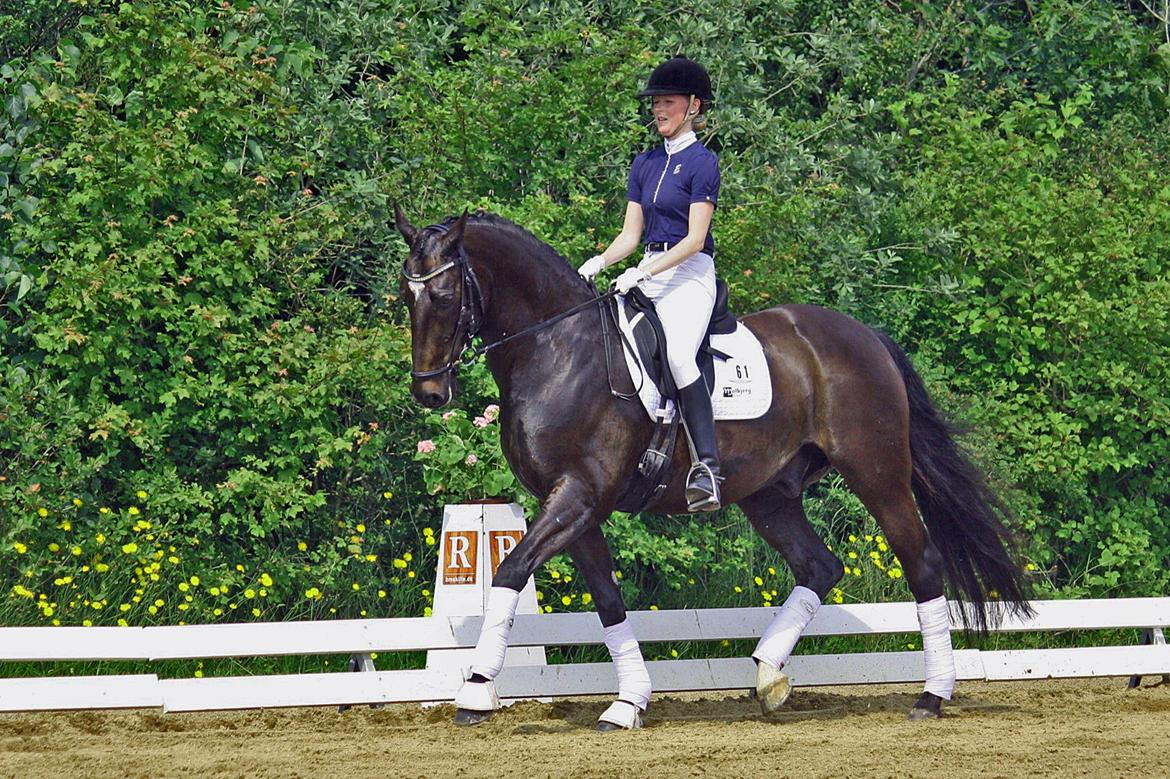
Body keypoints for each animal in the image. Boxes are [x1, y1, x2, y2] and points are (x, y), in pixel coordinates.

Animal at [397, 205, 1029, 729]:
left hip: (877, 473)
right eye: (407, 297)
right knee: (820, 566)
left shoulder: (579, 494)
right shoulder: (575, 505)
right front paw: (628, 703)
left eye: (446, 296)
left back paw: (932, 695)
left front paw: (476, 691)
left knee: (921, 563)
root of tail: (864, 335)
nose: (429, 393)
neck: (557, 348)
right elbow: (607, 600)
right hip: (769, 493)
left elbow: (509, 572)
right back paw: (768, 676)